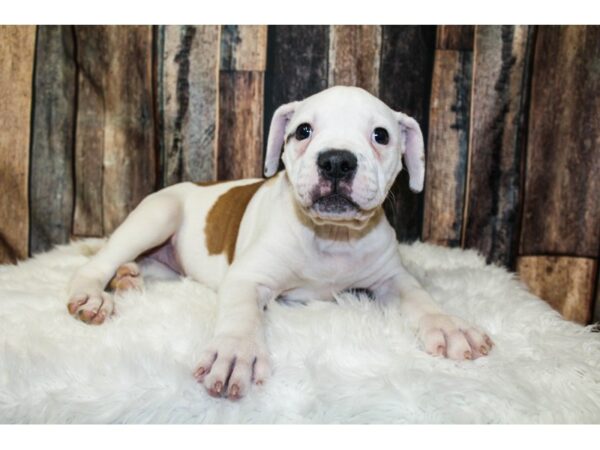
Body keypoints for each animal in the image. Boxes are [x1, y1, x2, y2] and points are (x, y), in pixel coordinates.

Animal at [68, 86, 494, 400]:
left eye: (381, 135)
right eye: (303, 131)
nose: (336, 161)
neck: (332, 236)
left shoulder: (392, 277)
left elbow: (420, 297)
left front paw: (450, 327)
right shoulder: (247, 278)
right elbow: (242, 315)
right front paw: (235, 353)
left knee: (142, 265)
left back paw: (129, 278)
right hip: (157, 216)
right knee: (98, 262)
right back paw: (95, 294)